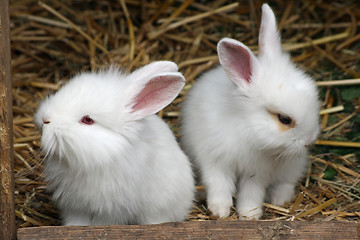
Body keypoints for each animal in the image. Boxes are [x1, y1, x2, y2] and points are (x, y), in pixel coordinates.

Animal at [35, 61, 195, 226]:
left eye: (87, 120)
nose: (45, 119)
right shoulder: (75, 205)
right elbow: (76, 220)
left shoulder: (112, 209)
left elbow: (102, 223)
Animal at [181, 3, 320, 220]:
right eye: (284, 119)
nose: (310, 140)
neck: (247, 128)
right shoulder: (215, 161)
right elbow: (219, 186)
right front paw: (219, 211)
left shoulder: (256, 172)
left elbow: (251, 193)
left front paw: (249, 215)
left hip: (292, 166)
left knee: (286, 182)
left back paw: (279, 199)